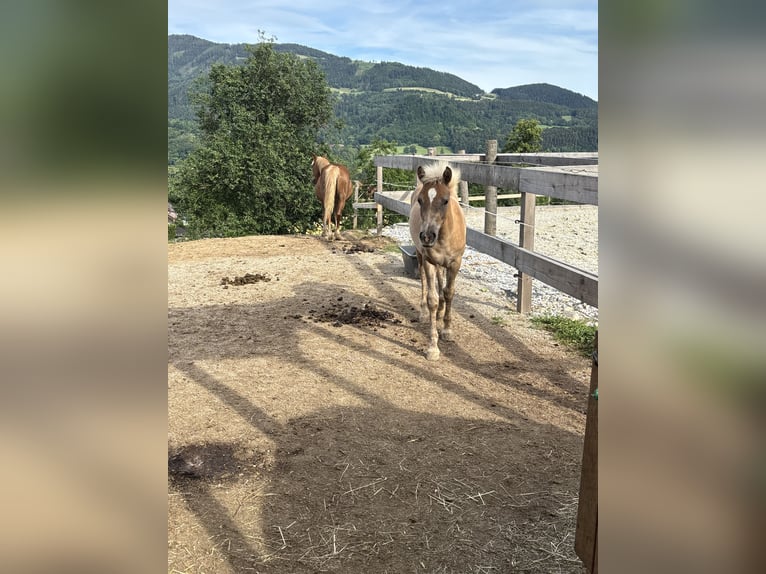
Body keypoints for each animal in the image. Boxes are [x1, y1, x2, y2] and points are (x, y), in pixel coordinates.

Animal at [409, 163, 467, 361]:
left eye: (445, 201)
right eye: (420, 200)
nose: (427, 236)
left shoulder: (455, 263)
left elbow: (449, 292)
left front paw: (447, 330)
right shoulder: (429, 261)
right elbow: (432, 299)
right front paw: (433, 347)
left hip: (444, 264)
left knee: (442, 283)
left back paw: (441, 312)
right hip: (420, 255)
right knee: (424, 282)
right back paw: (424, 313)